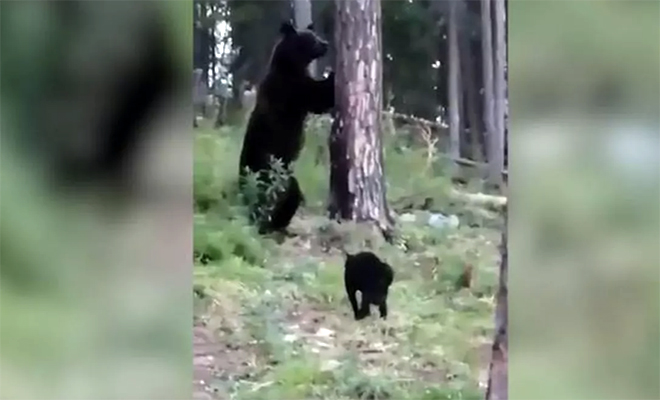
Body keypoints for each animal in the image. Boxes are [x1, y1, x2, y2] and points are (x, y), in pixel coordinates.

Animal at [238, 21, 336, 234]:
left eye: (315, 34)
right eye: (312, 39)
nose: (326, 44)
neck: (290, 64)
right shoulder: (291, 89)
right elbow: (319, 97)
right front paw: (332, 73)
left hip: (282, 177)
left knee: (292, 195)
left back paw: (279, 225)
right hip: (265, 169)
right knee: (268, 198)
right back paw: (265, 224)